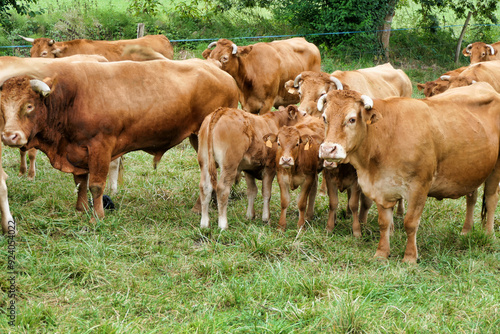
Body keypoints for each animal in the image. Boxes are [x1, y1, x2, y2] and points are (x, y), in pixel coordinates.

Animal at [0, 58, 238, 220]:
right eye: (2, 108)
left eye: (29, 106)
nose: (10, 136)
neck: (70, 99)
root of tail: (216, 68)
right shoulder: (76, 151)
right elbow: (80, 182)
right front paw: (81, 209)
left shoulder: (100, 147)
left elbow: (96, 185)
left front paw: (97, 216)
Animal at [318, 82, 500, 262]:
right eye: (325, 118)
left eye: (352, 119)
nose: (328, 149)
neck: (386, 137)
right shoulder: (381, 187)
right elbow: (384, 223)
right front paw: (381, 253)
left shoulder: (419, 187)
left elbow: (410, 223)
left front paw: (410, 257)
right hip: (472, 169)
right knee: (472, 198)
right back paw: (466, 231)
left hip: (495, 168)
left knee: (491, 200)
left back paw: (489, 235)